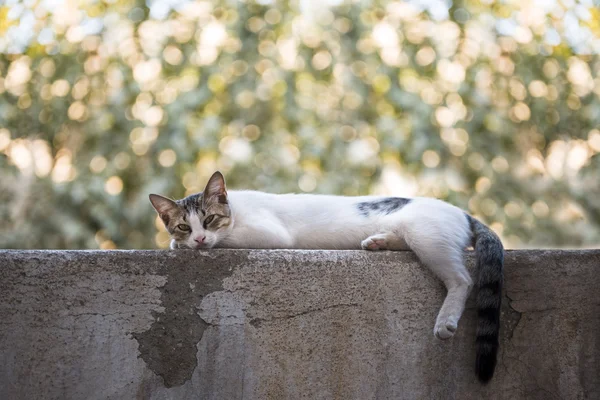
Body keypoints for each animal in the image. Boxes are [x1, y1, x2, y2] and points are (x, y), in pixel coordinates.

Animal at [149, 170, 502, 382]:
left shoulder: (269, 235)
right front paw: (178, 244)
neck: (236, 208)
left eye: (209, 219)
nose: (198, 239)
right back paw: (379, 241)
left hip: (427, 237)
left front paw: (187, 247)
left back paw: (446, 321)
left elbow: (229, 239)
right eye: (183, 225)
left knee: (462, 280)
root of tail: (462, 212)